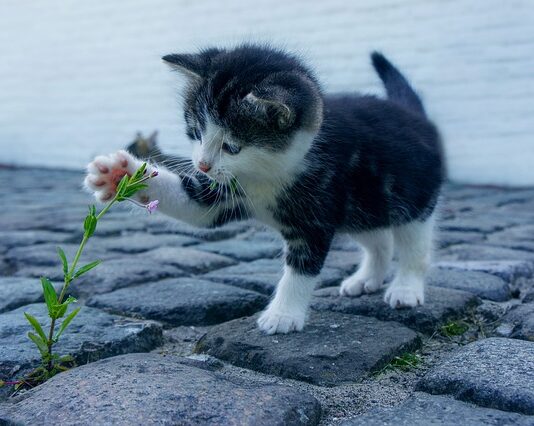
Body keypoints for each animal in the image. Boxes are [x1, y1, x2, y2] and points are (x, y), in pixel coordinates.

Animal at [85, 45, 444, 334]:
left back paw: (406, 288)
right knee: (378, 239)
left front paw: (283, 315)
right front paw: (119, 174)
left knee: (413, 245)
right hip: (362, 206)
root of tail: (414, 115)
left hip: (412, 198)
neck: (266, 173)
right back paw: (367, 278)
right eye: (196, 132)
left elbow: (301, 268)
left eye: (232, 146)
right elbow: (195, 205)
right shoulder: (224, 192)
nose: (202, 165)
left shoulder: (316, 212)